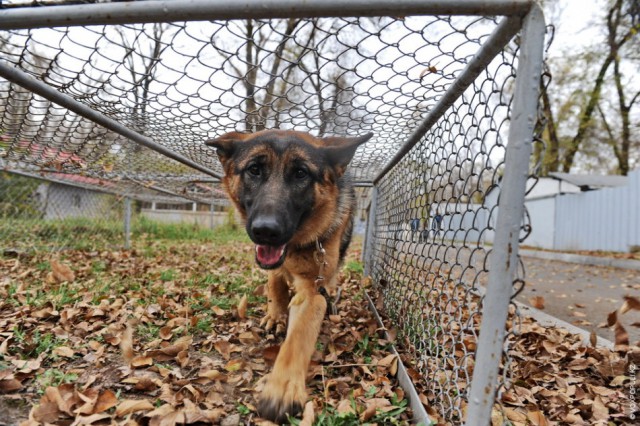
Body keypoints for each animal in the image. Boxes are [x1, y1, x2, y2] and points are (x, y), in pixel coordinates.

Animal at [206, 128, 370, 422]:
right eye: (255, 170)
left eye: (301, 174)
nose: (266, 230)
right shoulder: (274, 265)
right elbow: (275, 283)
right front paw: (276, 314)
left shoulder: (313, 290)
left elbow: (298, 337)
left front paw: (282, 388)